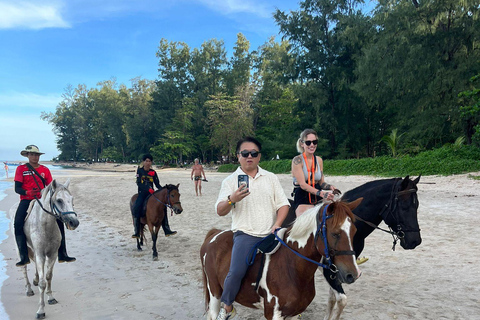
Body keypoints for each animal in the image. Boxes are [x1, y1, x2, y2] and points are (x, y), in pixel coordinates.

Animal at [10, 179, 79, 318]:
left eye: (71, 199)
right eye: (59, 200)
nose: (74, 222)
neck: (46, 225)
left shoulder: (52, 254)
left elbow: (48, 277)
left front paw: (51, 298)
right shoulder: (40, 254)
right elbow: (43, 283)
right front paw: (41, 310)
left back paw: (35, 280)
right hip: (20, 249)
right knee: (24, 267)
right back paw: (29, 289)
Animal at [201, 199, 362, 318]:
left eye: (354, 231)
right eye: (335, 234)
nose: (353, 274)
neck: (291, 267)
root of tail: (214, 234)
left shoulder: (294, 313)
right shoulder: (274, 314)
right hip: (215, 292)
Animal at [282, 176, 420, 318]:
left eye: (417, 205)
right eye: (404, 206)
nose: (415, 241)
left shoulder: (341, 271)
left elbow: (332, 299)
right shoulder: (329, 270)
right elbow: (341, 300)